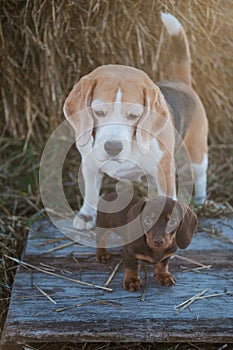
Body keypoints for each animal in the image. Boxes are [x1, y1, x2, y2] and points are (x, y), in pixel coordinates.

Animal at [63, 13, 208, 230]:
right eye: (98, 112)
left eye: (134, 115)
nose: (113, 148)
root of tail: (179, 82)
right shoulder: (89, 163)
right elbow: (90, 193)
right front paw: (86, 216)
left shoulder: (164, 170)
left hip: (197, 151)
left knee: (199, 175)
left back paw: (200, 199)